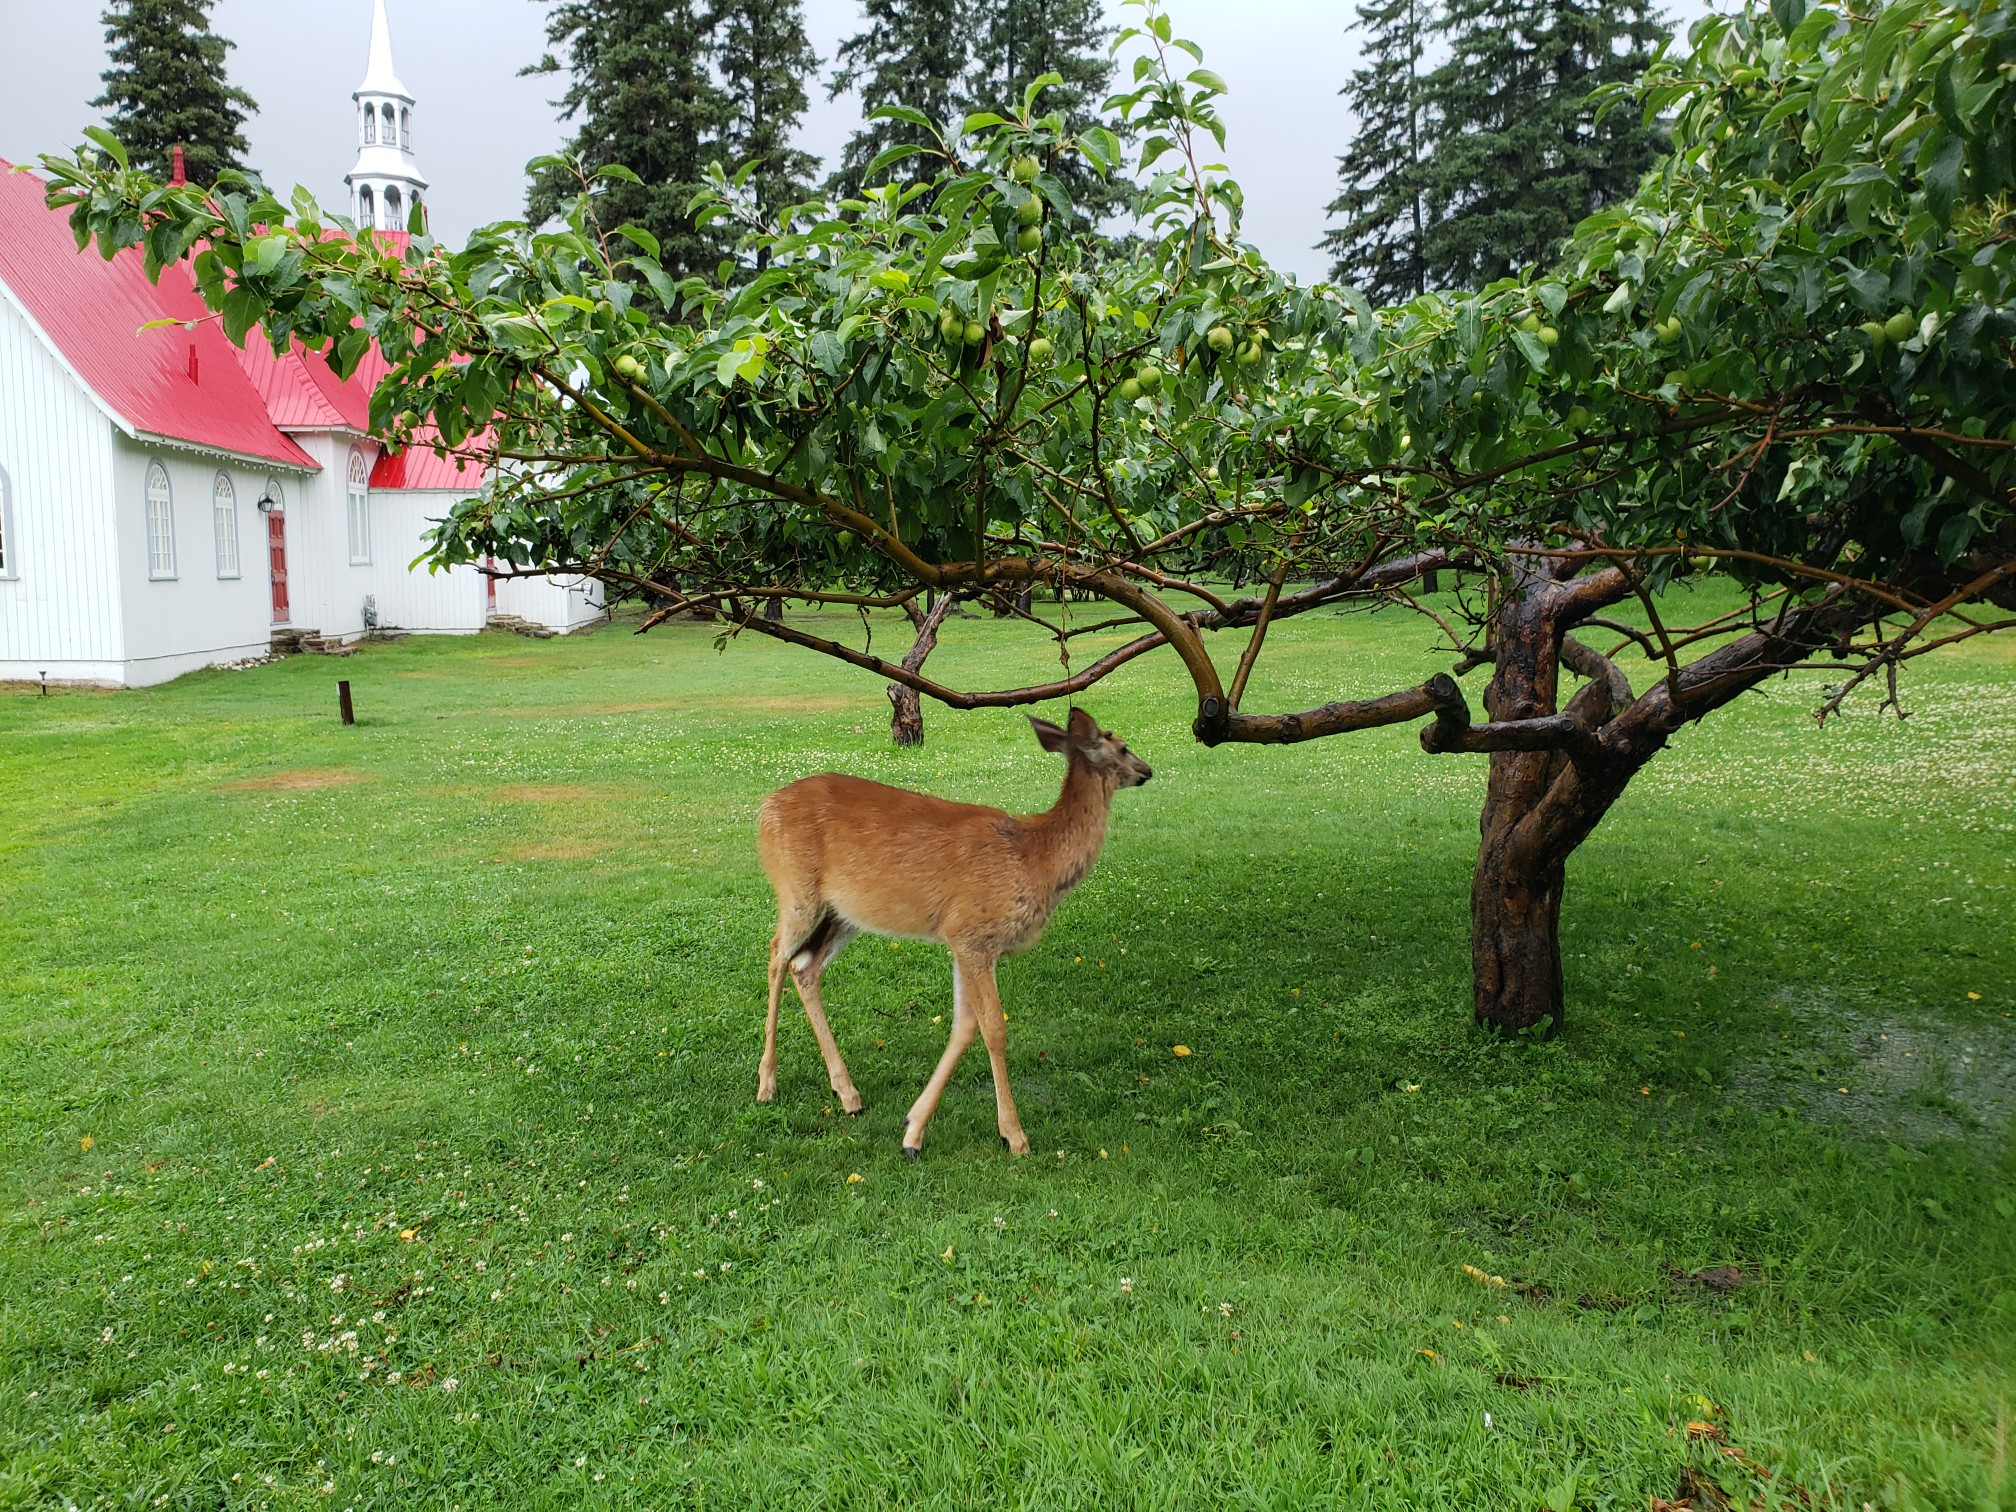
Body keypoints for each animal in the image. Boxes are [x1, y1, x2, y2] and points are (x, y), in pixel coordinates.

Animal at [753, 709, 1153, 1161]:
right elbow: (994, 1029)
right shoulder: (971, 933)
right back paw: (767, 1084)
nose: (1147, 770)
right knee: (776, 954)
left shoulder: (966, 943)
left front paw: (913, 1131)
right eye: (1123, 746)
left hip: (844, 913)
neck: (1036, 856)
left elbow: (964, 1027)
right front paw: (1014, 1135)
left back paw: (848, 1094)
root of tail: (764, 809)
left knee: (805, 966)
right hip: (796, 889)